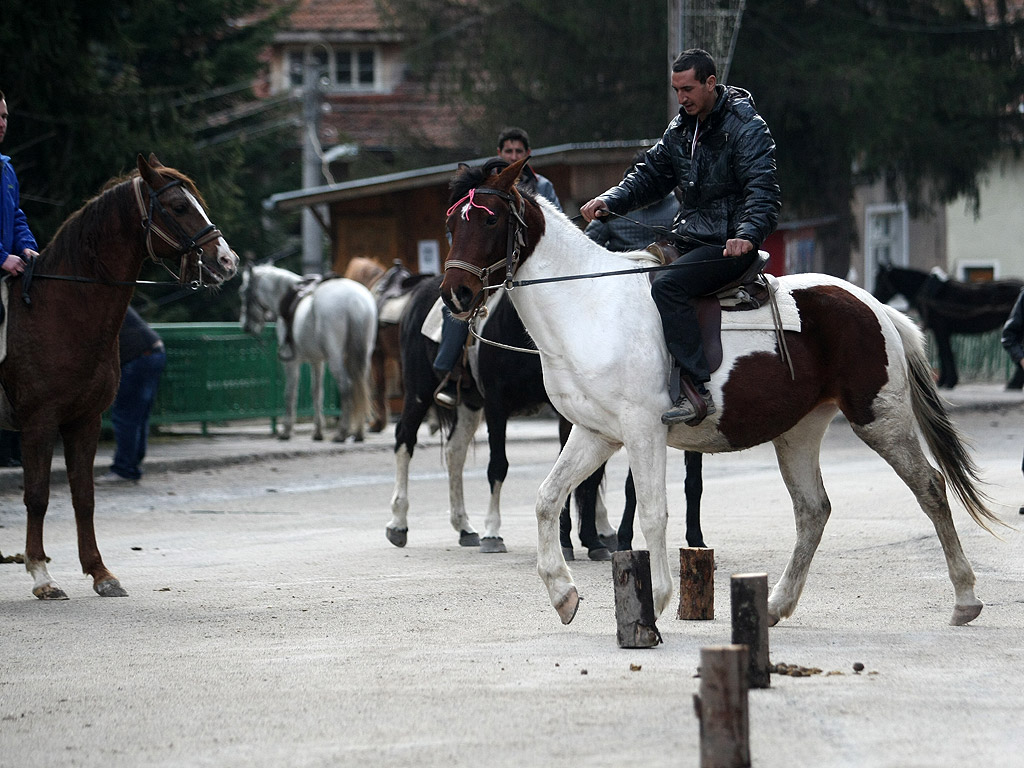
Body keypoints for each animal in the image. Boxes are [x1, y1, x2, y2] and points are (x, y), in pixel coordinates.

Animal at [0, 154, 237, 602]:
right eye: (179, 206)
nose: (227, 261)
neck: (58, 309)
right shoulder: (40, 422)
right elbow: (37, 496)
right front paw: (41, 575)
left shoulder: (84, 421)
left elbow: (84, 496)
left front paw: (100, 572)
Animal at [440, 159, 999, 626]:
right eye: (452, 223)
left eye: (489, 220)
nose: (455, 294)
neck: (589, 304)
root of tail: (875, 306)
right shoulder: (596, 433)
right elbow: (547, 498)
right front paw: (563, 594)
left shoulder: (642, 430)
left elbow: (653, 512)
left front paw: (657, 600)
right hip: (799, 432)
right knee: (813, 510)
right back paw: (776, 604)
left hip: (878, 416)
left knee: (929, 488)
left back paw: (966, 598)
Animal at [872, 266, 1024, 391]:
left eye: (880, 280)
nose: (874, 298)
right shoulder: (941, 330)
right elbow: (944, 353)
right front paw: (945, 381)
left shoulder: (941, 329)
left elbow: (945, 353)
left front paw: (948, 381)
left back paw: (1014, 383)